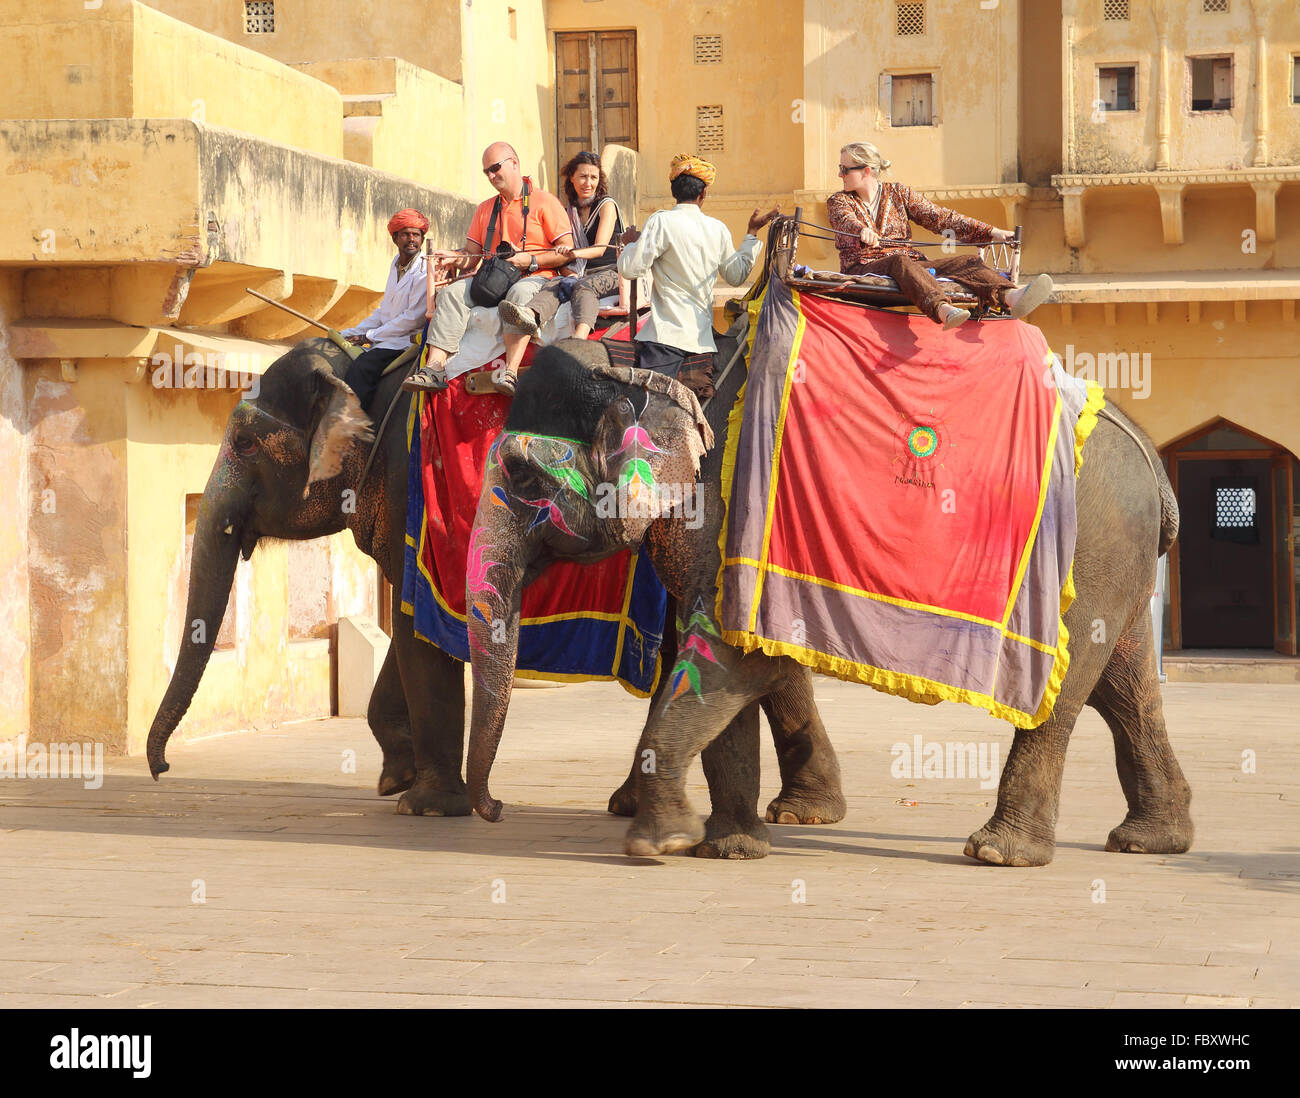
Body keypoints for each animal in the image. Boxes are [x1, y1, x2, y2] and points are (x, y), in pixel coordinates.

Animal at [147, 335, 847, 857]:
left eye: (242, 443)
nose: (161, 772)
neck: (364, 365)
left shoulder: (403, 493)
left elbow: (415, 634)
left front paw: (425, 807)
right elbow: (411, 632)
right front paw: (398, 779)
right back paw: (790, 815)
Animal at [467, 326, 1196, 862]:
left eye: (523, 475)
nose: (493, 810)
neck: (655, 366)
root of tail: (1156, 468)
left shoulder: (734, 510)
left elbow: (731, 654)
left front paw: (658, 844)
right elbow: (743, 656)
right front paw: (731, 847)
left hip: (1093, 545)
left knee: (1066, 688)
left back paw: (999, 852)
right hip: (1116, 559)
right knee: (1124, 684)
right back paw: (1150, 840)